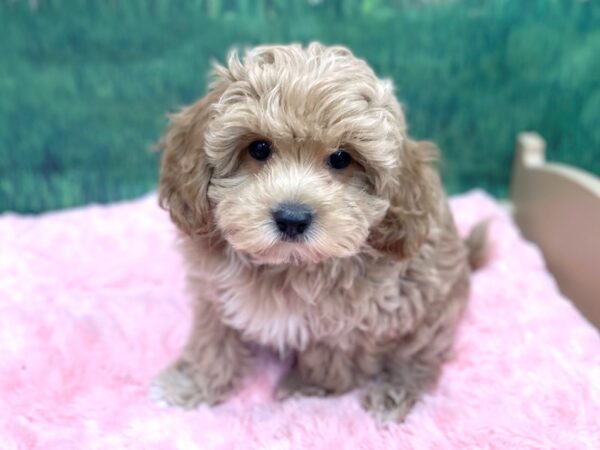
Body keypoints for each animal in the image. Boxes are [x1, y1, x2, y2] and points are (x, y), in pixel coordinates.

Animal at [152, 43, 486, 422]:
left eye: (341, 158)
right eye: (258, 148)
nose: (292, 218)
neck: (287, 265)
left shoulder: (355, 319)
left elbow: (328, 356)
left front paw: (306, 388)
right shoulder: (215, 293)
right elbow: (213, 340)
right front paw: (191, 384)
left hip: (430, 309)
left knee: (418, 359)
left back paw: (392, 392)